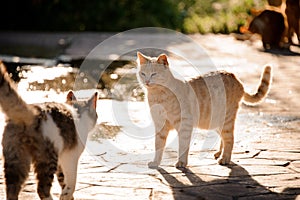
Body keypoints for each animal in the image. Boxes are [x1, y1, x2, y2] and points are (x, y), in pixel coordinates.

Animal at [0, 61, 97, 199]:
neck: (78, 111)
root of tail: (31, 112)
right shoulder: (70, 157)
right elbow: (71, 182)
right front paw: (66, 195)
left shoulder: (62, 161)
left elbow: (63, 180)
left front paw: (67, 196)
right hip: (47, 157)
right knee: (42, 188)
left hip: (16, 158)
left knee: (12, 189)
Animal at [137, 52, 274, 168]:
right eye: (143, 74)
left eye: (154, 74)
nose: (147, 81)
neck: (158, 97)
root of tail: (235, 77)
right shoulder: (160, 126)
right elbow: (158, 146)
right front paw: (156, 162)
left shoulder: (185, 125)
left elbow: (183, 146)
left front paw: (181, 162)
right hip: (216, 122)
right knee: (223, 139)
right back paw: (219, 153)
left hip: (226, 121)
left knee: (230, 139)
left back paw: (225, 159)